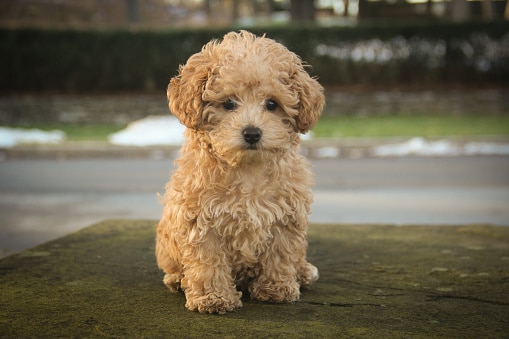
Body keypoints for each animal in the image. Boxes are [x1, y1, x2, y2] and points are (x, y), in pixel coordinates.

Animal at [155, 30, 324, 314]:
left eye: (272, 104)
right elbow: (208, 261)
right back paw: (178, 280)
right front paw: (213, 298)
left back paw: (302, 273)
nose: (252, 133)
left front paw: (276, 289)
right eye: (228, 104)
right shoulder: (200, 218)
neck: (247, 169)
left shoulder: (286, 215)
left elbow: (280, 254)